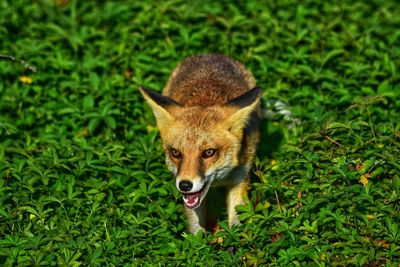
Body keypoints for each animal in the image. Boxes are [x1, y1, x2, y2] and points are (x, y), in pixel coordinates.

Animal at [139, 54, 260, 234]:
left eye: (209, 152)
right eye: (176, 153)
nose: (184, 185)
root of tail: (212, 54)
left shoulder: (239, 179)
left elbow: (236, 224)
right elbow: (196, 230)